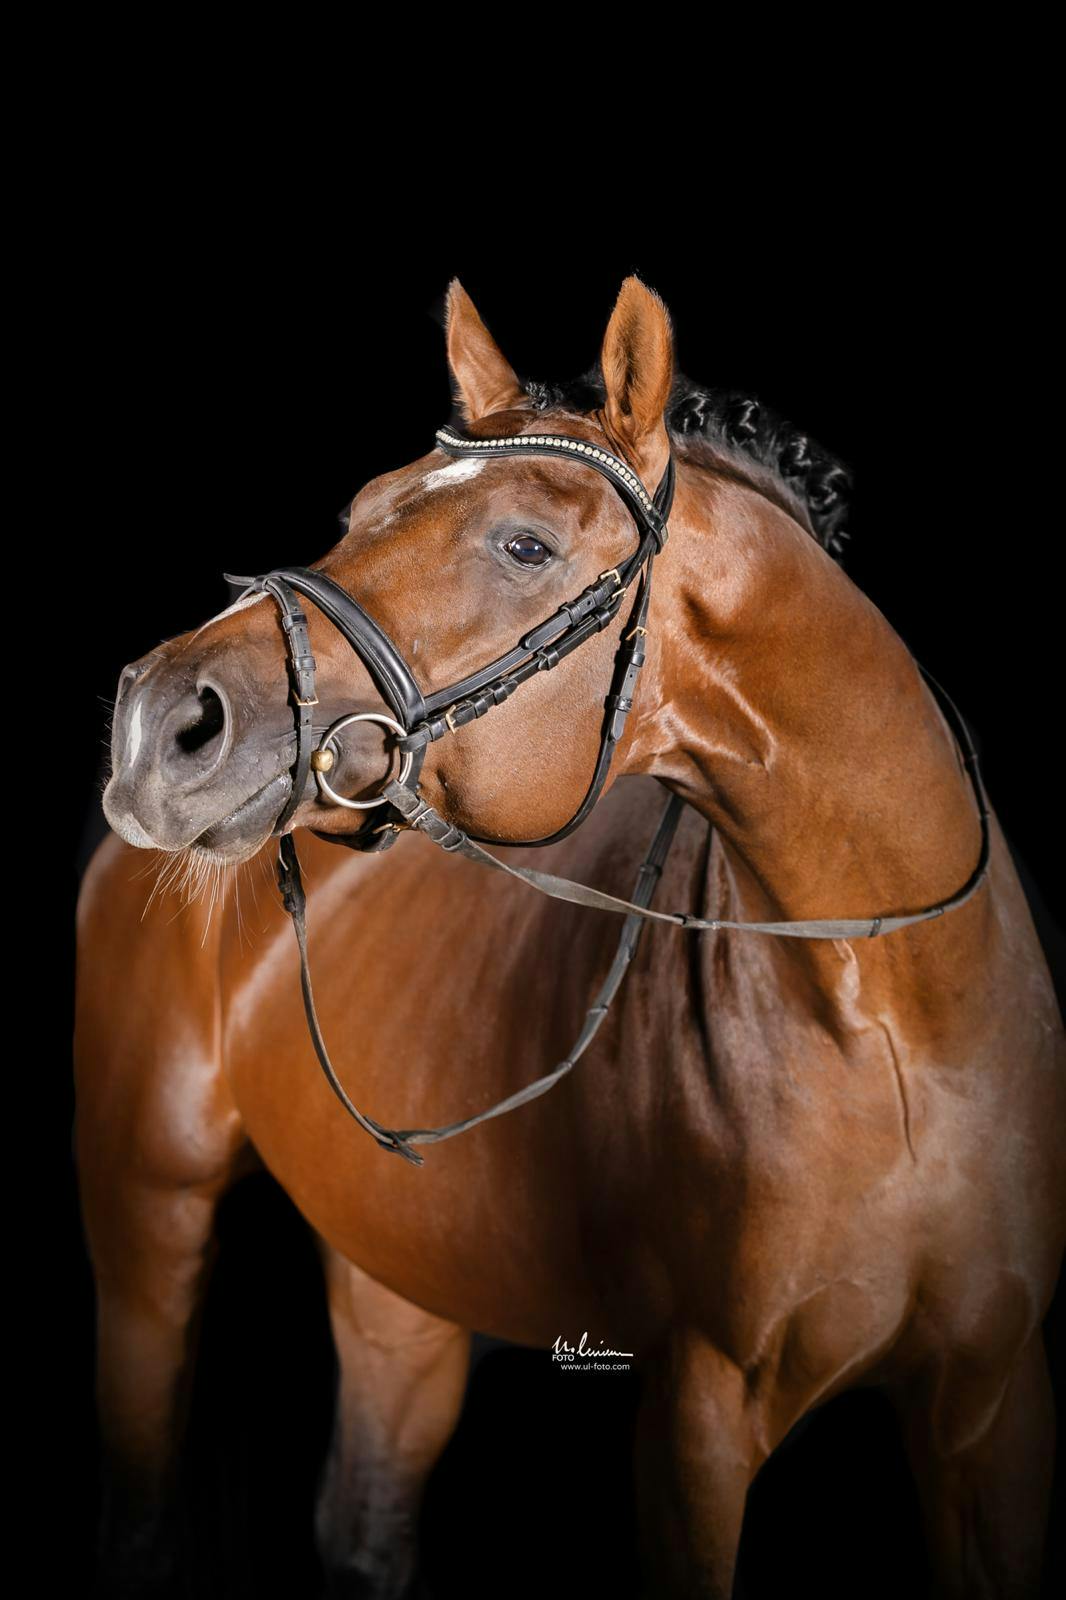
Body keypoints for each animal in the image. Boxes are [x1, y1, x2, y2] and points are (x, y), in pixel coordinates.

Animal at [76, 274, 1066, 1598]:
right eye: (360, 508)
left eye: (525, 546)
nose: (160, 724)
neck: (897, 1017)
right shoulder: (697, 1417)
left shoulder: (992, 1406)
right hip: (147, 1219)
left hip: (398, 1278)